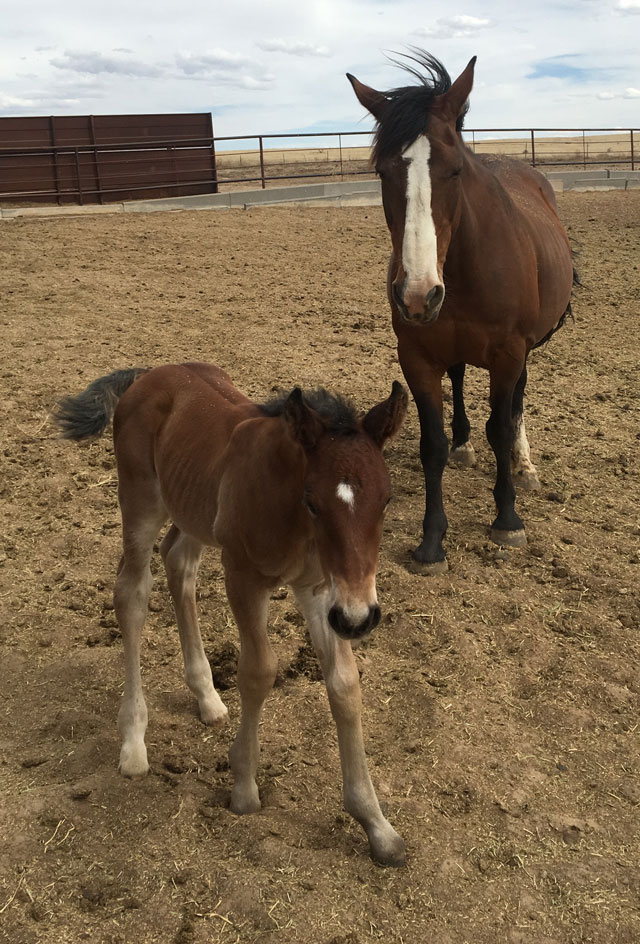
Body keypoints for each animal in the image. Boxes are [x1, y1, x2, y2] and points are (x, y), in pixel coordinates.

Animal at [53, 362, 408, 866]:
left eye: (386, 499)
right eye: (313, 501)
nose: (359, 620)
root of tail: (149, 374)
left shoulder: (323, 590)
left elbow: (344, 684)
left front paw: (376, 824)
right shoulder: (243, 576)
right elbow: (258, 672)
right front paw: (243, 789)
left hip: (195, 512)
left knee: (179, 564)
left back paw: (207, 696)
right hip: (140, 501)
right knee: (131, 594)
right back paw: (134, 742)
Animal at [347, 51, 575, 574]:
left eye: (454, 171)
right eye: (383, 172)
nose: (417, 294)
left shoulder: (510, 353)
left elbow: (502, 425)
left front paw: (507, 518)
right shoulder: (416, 355)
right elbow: (431, 443)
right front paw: (431, 541)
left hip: (524, 350)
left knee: (516, 403)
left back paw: (523, 465)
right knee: (459, 377)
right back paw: (465, 445)